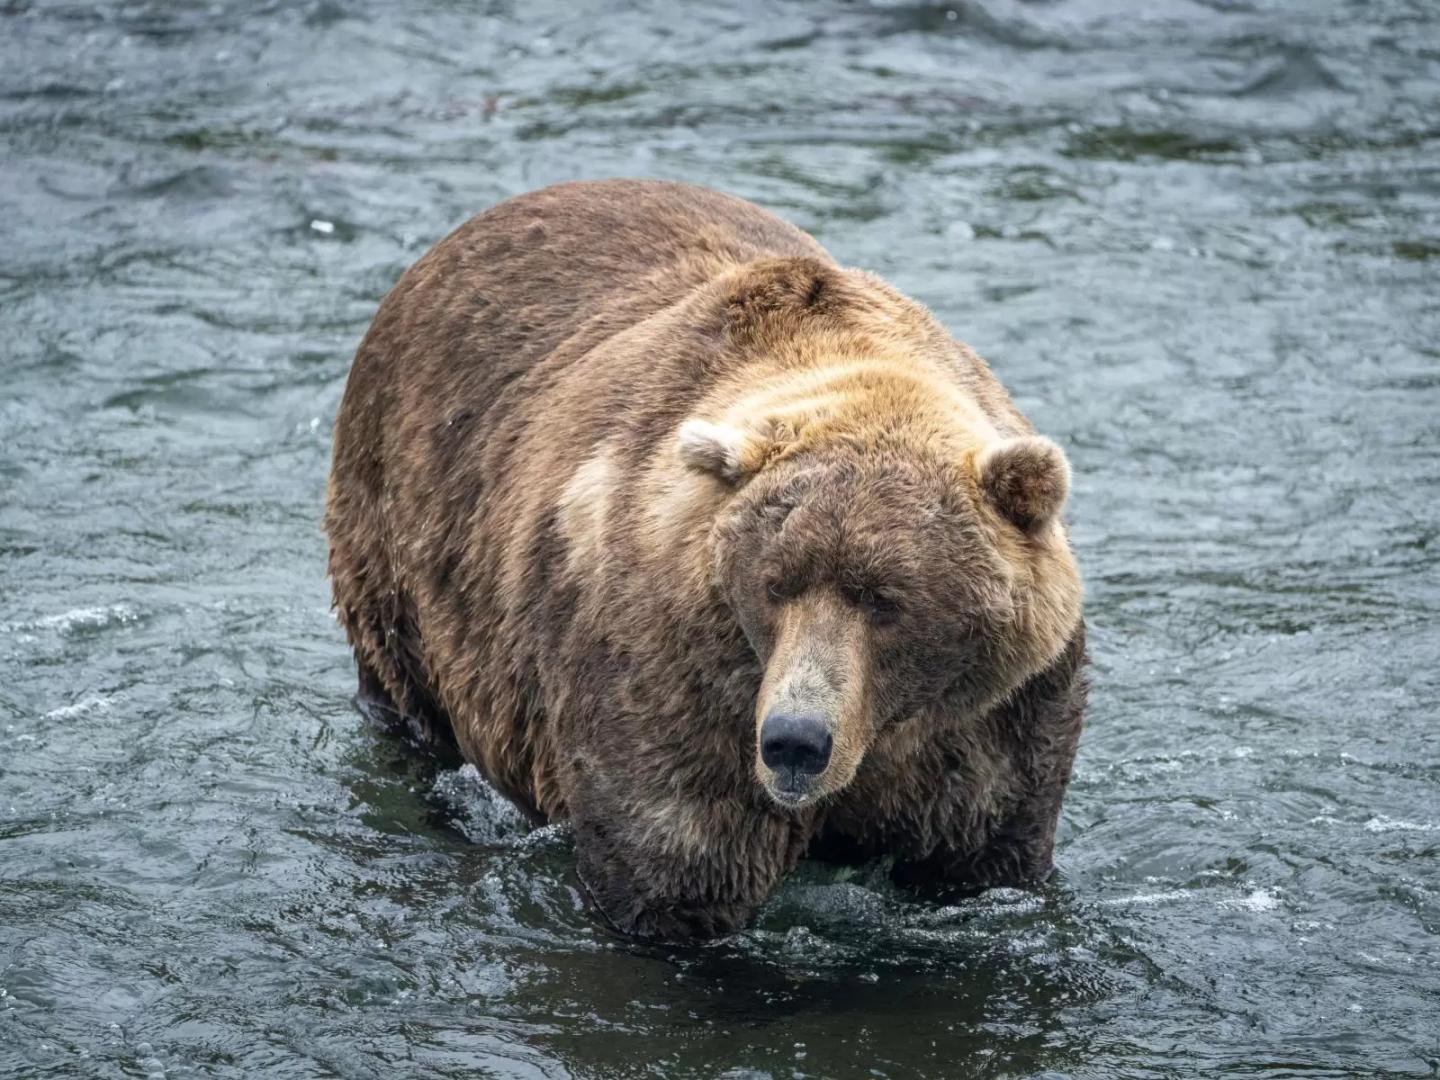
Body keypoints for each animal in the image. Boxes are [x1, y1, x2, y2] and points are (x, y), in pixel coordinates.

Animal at [326, 177, 1082, 938]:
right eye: (774, 585)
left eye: (884, 597)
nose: (795, 740)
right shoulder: (675, 682)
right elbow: (675, 871)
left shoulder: (992, 720)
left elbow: (983, 854)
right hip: (399, 537)